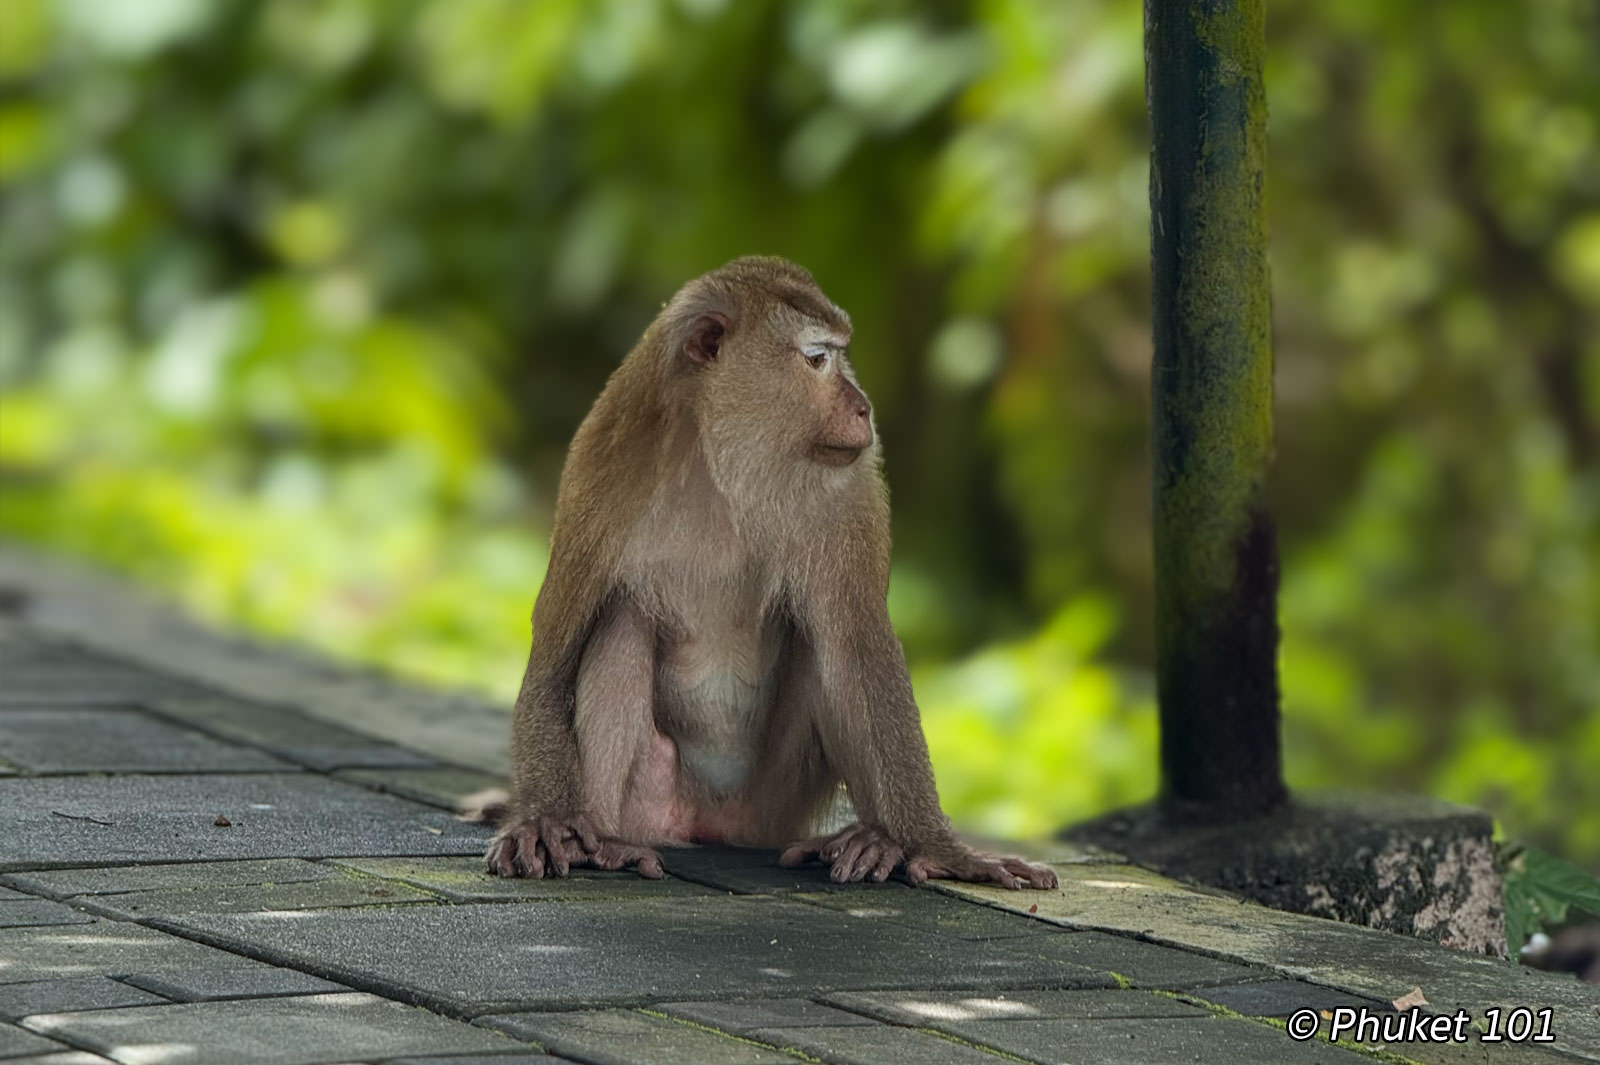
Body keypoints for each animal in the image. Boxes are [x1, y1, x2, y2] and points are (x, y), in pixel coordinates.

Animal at [483, 256, 1056, 891]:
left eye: (839, 354)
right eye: (818, 359)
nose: (864, 408)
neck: (719, 460)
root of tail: (714, 825)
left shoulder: (848, 493)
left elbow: (860, 650)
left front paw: (937, 846)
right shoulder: (600, 471)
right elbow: (555, 657)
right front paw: (543, 819)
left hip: (775, 804)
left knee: (824, 643)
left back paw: (875, 840)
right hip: (653, 799)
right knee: (622, 620)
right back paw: (606, 839)